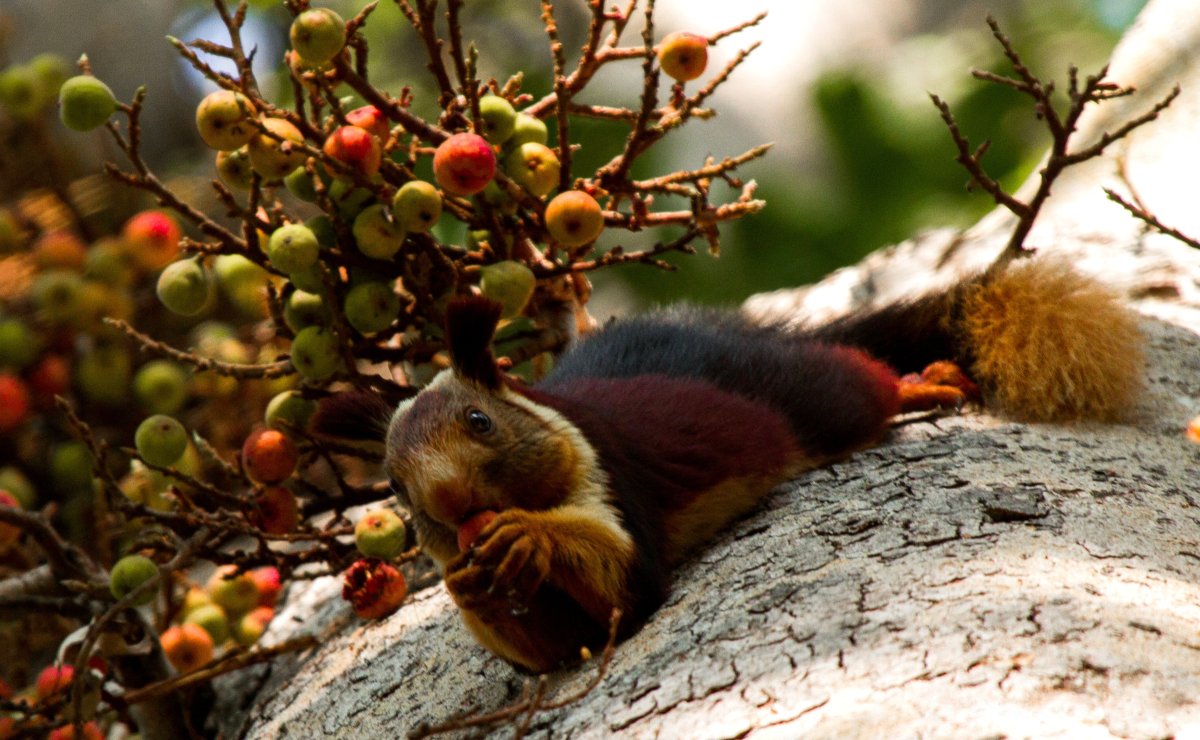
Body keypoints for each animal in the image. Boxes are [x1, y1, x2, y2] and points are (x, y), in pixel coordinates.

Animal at [315, 259, 1143, 673]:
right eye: (395, 488)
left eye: (480, 422)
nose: (454, 505)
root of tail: (747, 340)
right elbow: (550, 653)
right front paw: (466, 585)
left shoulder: (611, 477)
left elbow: (628, 586)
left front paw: (532, 537)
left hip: (812, 397)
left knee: (854, 380)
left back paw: (919, 382)